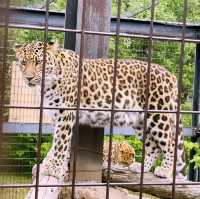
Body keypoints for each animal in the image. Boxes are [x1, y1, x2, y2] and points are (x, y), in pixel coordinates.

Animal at [14, 40, 186, 183]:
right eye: (23, 63)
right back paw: (140, 167)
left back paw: (165, 170)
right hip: (140, 121)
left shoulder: (65, 114)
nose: (28, 78)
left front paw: (53, 167)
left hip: (158, 115)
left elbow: (60, 142)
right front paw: (48, 163)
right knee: (153, 147)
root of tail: (171, 75)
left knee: (170, 143)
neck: (47, 86)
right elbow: (57, 141)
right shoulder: (55, 115)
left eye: (39, 62)